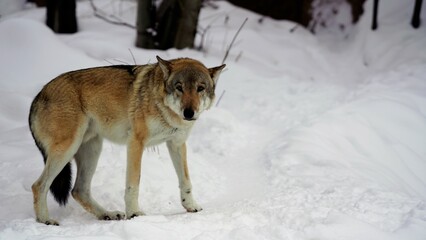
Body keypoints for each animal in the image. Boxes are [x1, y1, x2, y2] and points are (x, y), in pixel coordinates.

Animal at [28, 56, 226, 225]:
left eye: (200, 88)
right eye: (179, 87)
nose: (189, 113)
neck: (162, 106)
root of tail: (37, 97)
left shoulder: (177, 144)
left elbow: (186, 180)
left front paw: (190, 206)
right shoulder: (136, 143)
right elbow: (133, 183)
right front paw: (135, 214)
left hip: (93, 150)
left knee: (78, 191)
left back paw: (107, 214)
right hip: (68, 148)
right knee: (39, 186)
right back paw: (45, 220)